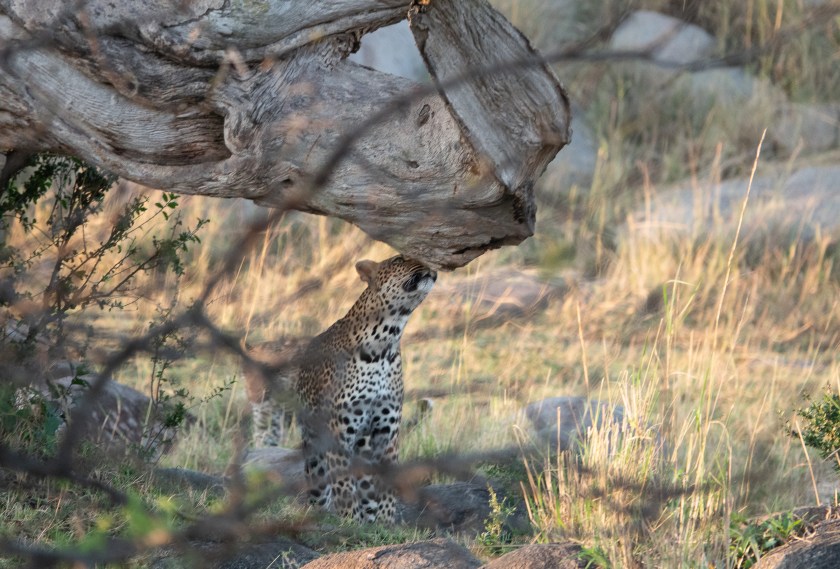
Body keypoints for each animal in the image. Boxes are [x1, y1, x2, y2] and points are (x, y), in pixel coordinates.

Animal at [244, 255, 437, 523]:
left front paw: (385, 521)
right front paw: (349, 522)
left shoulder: (387, 429)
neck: (386, 341)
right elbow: (343, 482)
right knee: (319, 483)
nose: (430, 266)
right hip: (313, 444)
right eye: (400, 259)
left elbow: (386, 480)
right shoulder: (338, 429)